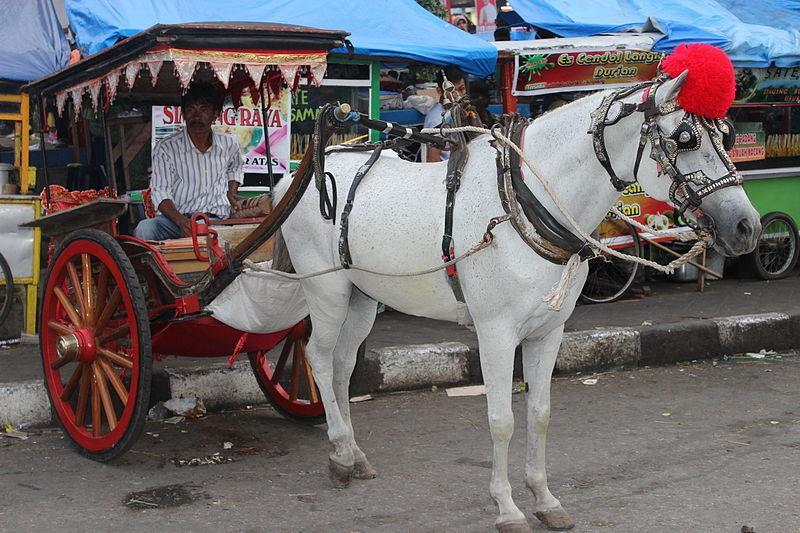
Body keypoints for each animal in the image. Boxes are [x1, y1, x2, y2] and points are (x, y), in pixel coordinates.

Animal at [272, 72, 760, 528]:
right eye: (685, 139)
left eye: (727, 135)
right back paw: (338, 453)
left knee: (342, 365)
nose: (747, 226)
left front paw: (544, 499)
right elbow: (502, 419)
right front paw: (506, 507)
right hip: (327, 291)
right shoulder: (496, 333)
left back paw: (353, 453)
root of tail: (296, 175)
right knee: (317, 357)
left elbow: (539, 414)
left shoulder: (549, 332)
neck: (523, 202)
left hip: (362, 297)